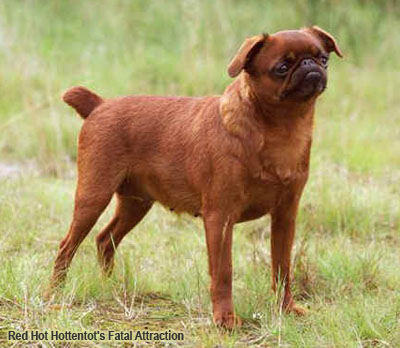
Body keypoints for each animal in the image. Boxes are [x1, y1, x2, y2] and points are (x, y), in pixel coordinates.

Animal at [47, 26, 340, 328]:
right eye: (281, 68)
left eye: (324, 59)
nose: (310, 65)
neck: (281, 129)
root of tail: (99, 105)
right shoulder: (220, 218)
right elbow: (223, 272)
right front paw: (225, 319)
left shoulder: (285, 216)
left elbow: (282, 267)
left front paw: (286, 309)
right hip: (94, 195)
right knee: (67, 245)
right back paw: (54, 294)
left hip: (136, 203)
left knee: (105, 239)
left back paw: (110, 286)